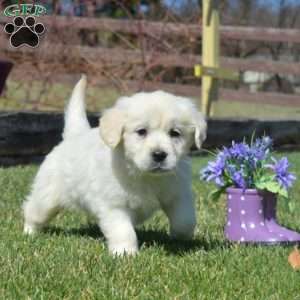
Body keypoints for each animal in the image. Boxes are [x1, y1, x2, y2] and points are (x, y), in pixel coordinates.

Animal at [22, 76, 206, 254]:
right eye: (141, 131)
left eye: (175, 133)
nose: (159, 155)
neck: (145, 175)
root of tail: (74, 136)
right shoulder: (113, 205)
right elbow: (123, 230)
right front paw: (125, 253)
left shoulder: (178, 194)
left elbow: (185, 220)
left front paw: (179, 237)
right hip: (47, 197)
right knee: (33, 211)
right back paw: (29, 233)